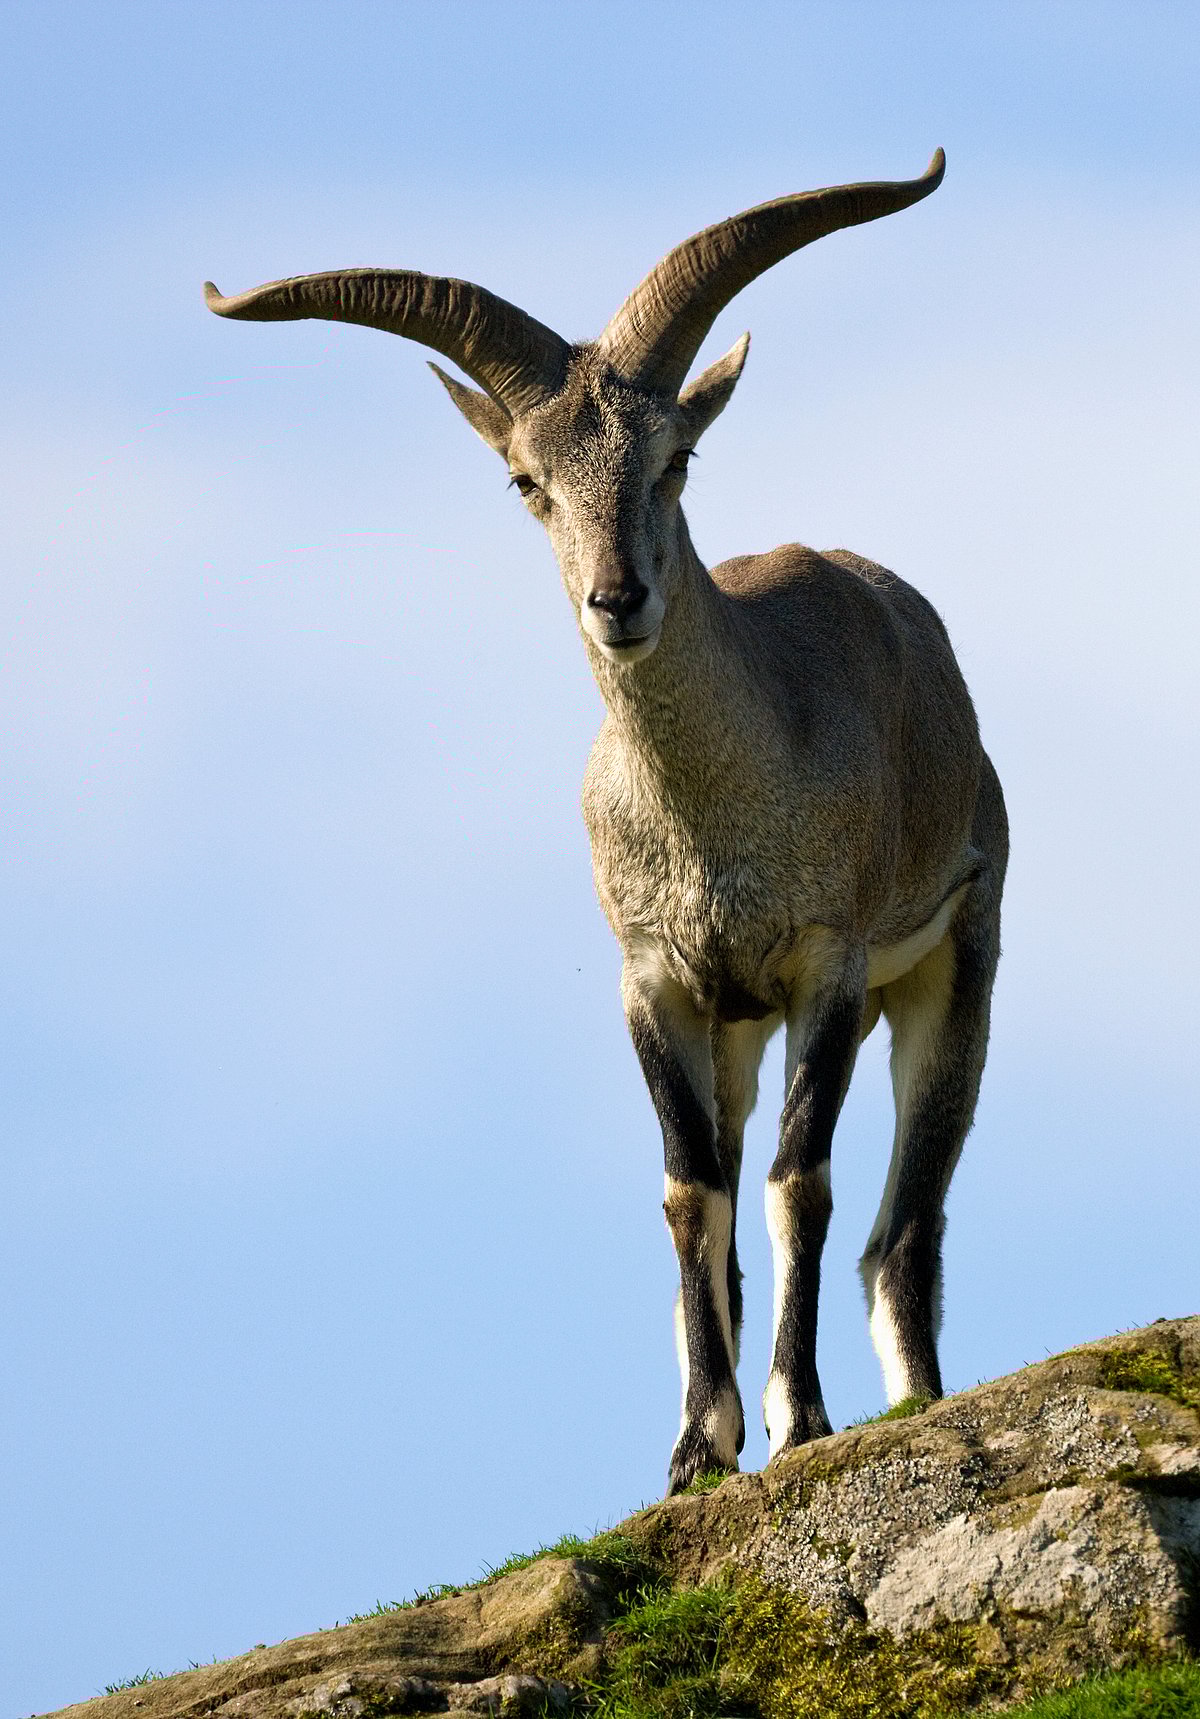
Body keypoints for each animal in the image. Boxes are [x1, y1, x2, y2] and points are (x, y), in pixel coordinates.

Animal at [206, 148, 1008, 1496]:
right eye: (527, 481)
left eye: (673, 458)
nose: (616, 598)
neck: (719, 817)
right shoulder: (660, 980)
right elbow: (693, 1194)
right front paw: (694, 1448)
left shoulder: (828, 966)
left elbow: (800, 1181)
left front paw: (799, 1420)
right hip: (738, 1028)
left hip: (958, 960)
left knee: (907, 1222)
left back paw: (914, 1403)